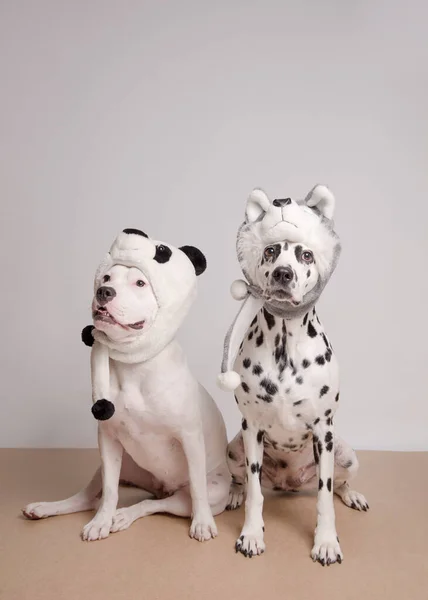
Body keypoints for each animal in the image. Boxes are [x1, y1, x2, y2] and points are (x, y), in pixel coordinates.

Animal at [23, 227, 231, 540]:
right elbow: (110, 491)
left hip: (207, 492)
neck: (133, 366)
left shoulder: (190, 439)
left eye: (140, 282)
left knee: (159, 503)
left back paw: (124, 516)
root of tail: (160, 487)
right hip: (121, 466)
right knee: (89, 498)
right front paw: (100, 521)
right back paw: (51, 508)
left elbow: (197, 488)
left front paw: (203, 522)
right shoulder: (108, 441)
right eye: (107, 278)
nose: (103, 292)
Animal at [217, 188, 368, 568]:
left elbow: (325, 497)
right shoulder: (252, 429)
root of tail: (290, 482)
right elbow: (256, 492)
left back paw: (353, 495)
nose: (283, 274)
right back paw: (234, 494)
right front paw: (251, 534)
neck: (285, 341)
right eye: (270, 251)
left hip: (346, 453)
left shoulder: (323, 430)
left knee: (339, 484)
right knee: (242, 481)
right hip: (233, 449)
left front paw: (326, 542)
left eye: (306, 254)